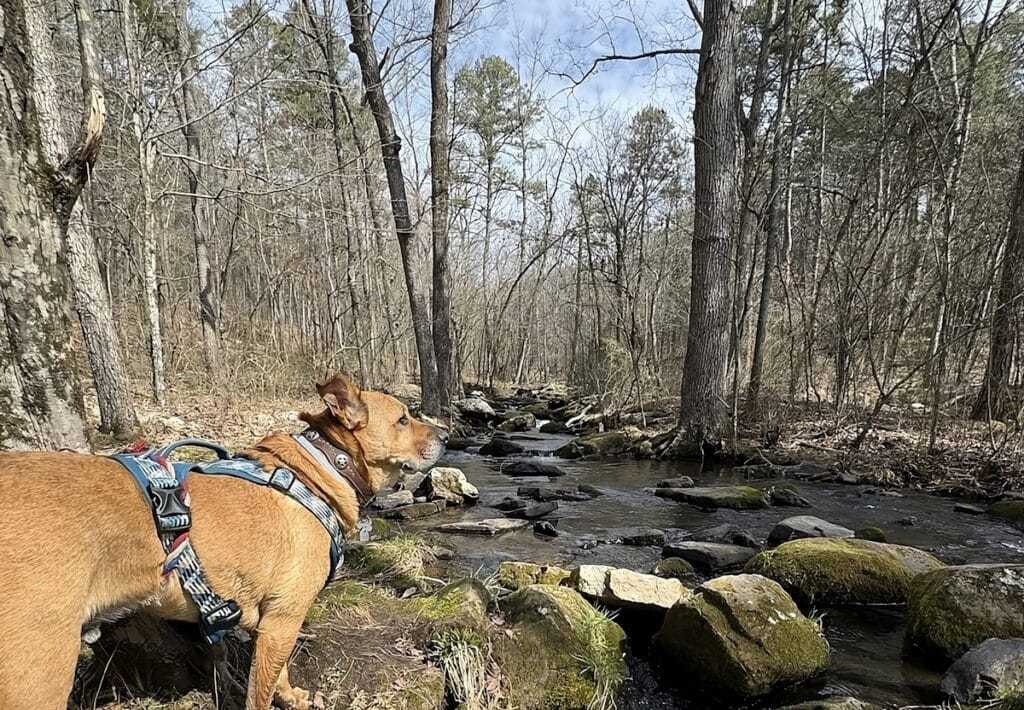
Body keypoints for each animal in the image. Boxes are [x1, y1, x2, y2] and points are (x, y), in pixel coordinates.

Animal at [0, 372, 448, 704]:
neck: (323, 468)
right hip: (39, 673)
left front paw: (291, 696)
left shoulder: (273, 624)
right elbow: (260, 692)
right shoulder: (284, 620)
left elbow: (278, 673)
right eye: (404, 419)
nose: (445, 435)